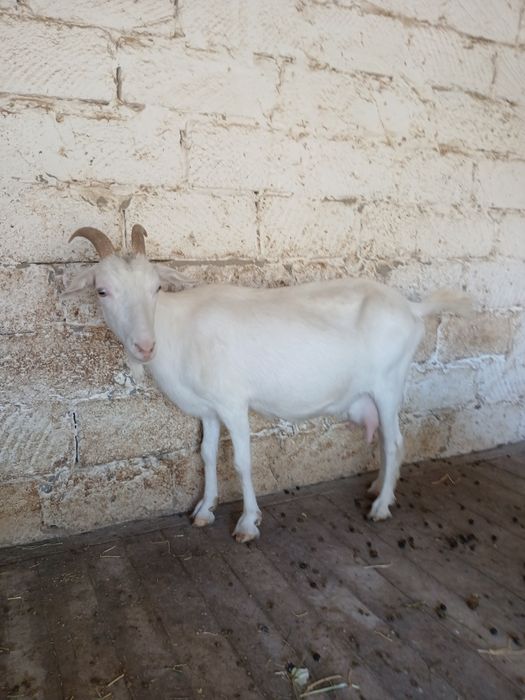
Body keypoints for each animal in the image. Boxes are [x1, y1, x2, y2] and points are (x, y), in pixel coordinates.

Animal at [66, 225, 471, 542]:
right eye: (102, 290)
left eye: (156, 288)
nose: (145, 346)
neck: (178, 330)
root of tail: (412, 308)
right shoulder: (208, 410)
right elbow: (207, 455)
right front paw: (204, 510)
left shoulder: (233, 402)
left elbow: (242, 461)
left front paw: (248, 523)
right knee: (388, 442)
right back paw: (377, 487)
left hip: (389, 384)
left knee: (394, 442)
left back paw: (382, 506)